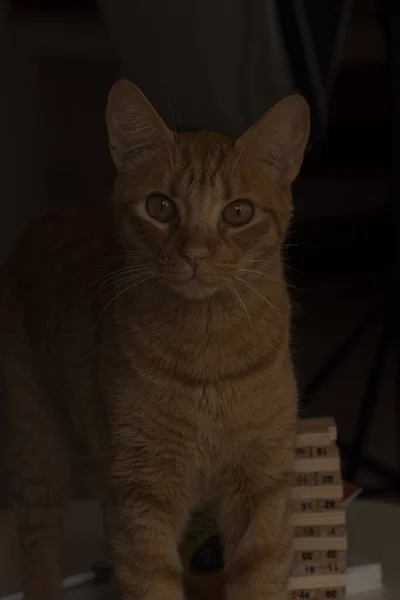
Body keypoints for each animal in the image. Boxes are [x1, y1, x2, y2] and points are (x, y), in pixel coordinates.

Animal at [0, 81, 310, 600]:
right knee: (38, 536)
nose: (196, 253)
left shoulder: (262, 485)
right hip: (38, 441)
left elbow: (259, 575)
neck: (208, 352)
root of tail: (47, 215)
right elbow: (150, 581)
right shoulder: (143, 494)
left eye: (238, 212)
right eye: (161, 207)